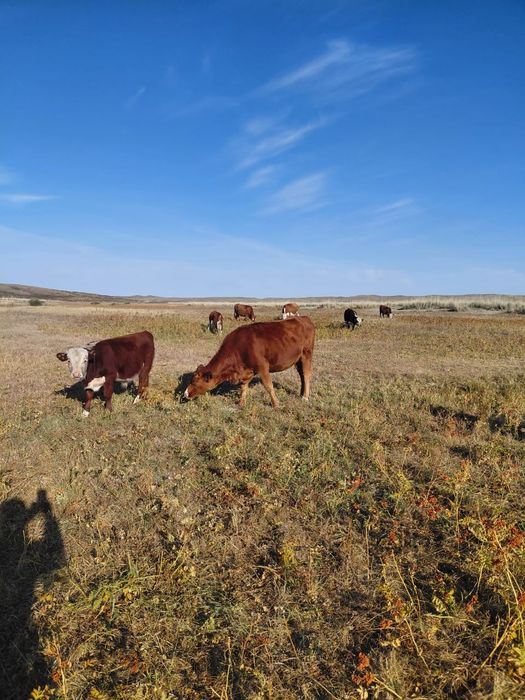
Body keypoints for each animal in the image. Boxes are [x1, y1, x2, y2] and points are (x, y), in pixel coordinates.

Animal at [184, 316, 315, 408]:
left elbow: (268, 386)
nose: (185, 394)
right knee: (302, 376)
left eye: (195, 381)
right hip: (298, 360)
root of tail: (304, 318)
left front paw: (276, 404)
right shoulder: (245, 371)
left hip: (306, 354)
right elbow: (243, 387)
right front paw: (241, 403)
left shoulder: (263, 367)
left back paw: (305, 397)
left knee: (307, 375)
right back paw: (301, 393)